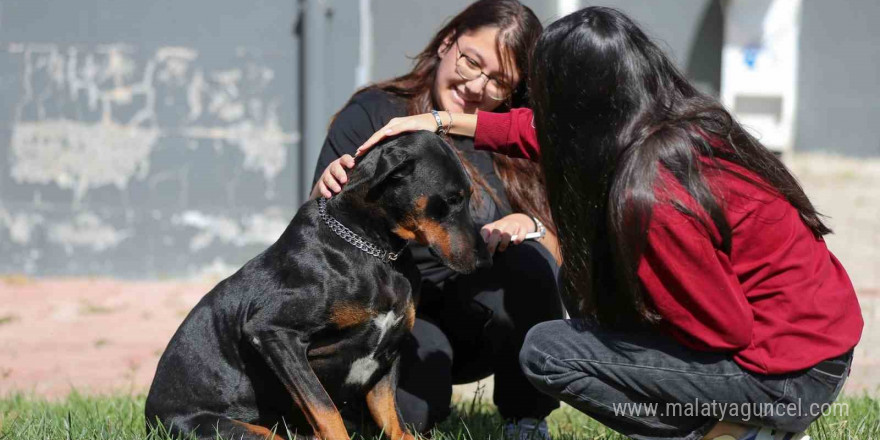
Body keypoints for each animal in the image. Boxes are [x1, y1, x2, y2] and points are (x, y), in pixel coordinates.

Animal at [145, 132, 488, 440]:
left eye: (469, 195)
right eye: (452, 199)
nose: (484, 258)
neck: (375, 250)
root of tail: (151, 419)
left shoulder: (389, 348)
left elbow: (393, 419)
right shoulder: (273, 333)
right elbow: (324, 408)